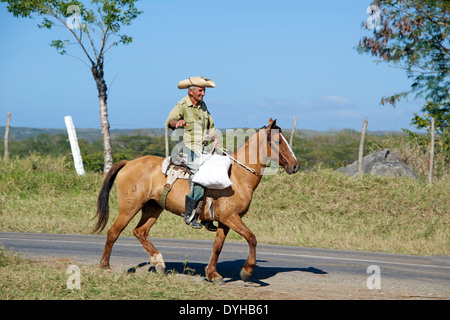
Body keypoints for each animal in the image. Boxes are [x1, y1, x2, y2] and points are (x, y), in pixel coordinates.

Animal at [93, 119, 300, 284]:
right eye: (278, 141)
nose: (295, 165)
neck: (237, 175)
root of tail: (128, 163)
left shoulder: (225, 221)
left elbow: (218, 246)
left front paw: (213, 274)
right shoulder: (231, 217)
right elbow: (252, 238)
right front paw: (247, 271)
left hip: (153, 208)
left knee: (140, 232)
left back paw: (159, 262)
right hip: (129, 207)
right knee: (113, 232)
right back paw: (104, 265)